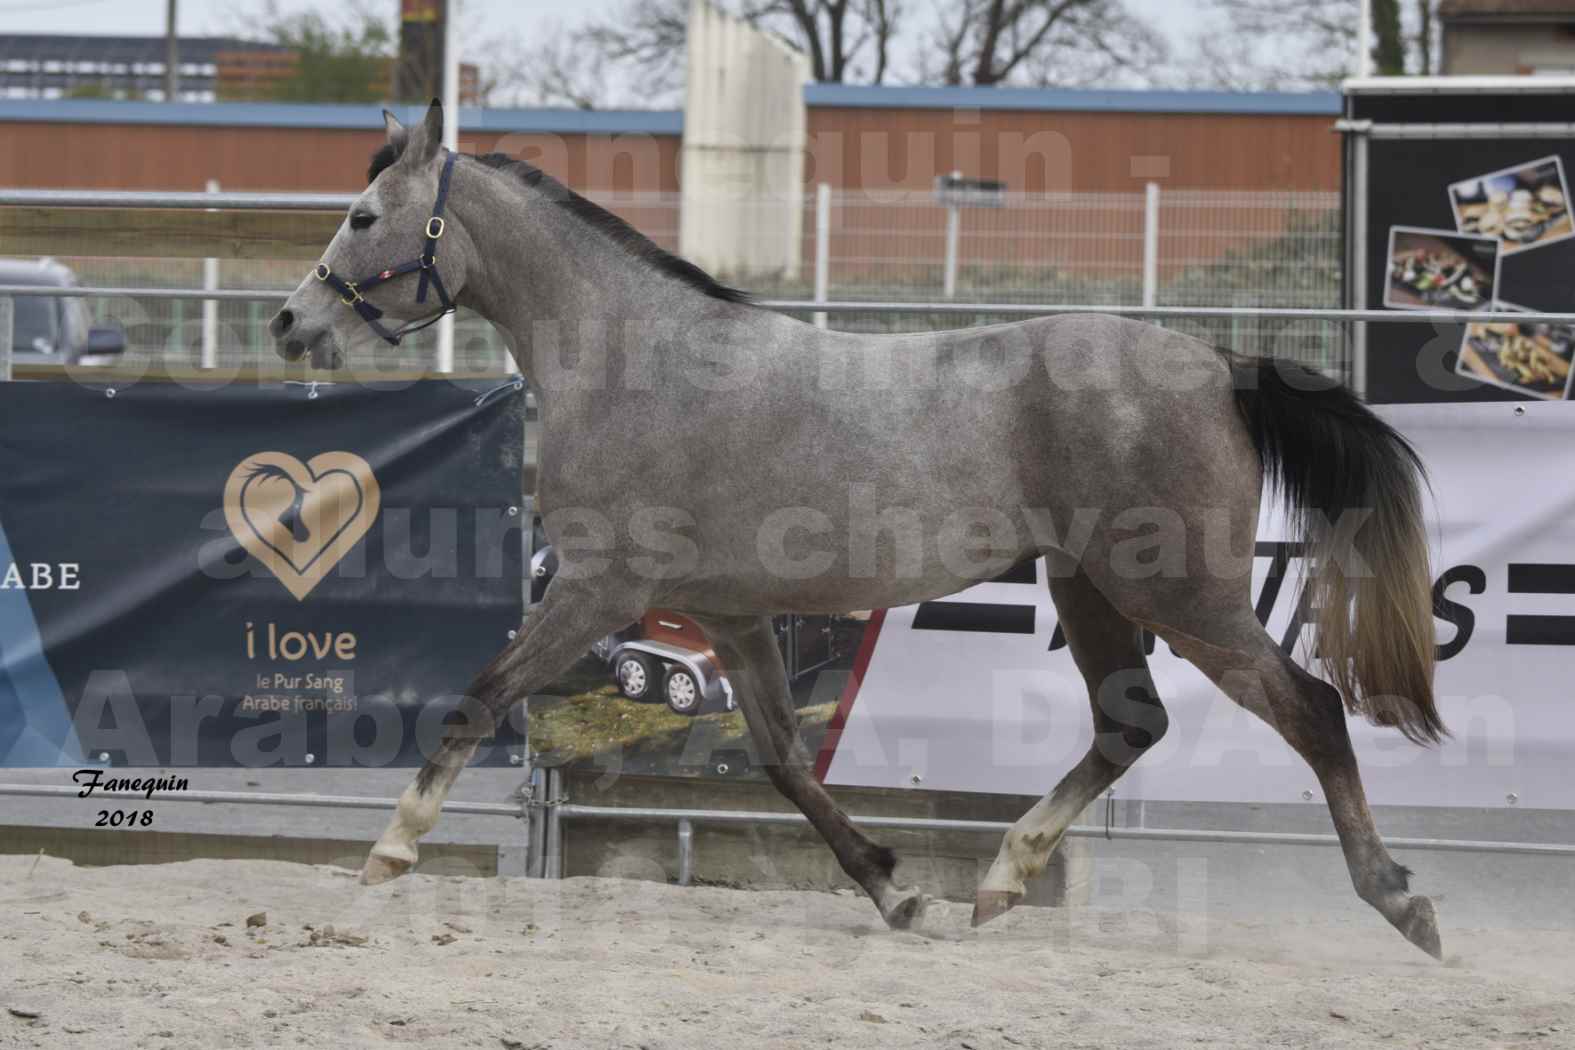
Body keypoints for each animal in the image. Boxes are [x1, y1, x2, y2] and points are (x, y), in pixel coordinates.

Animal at [264, 100, 1442, 963]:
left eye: (363, 217)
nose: (287, 321)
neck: (635, 362)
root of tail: (1220, 366)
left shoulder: (597, 588)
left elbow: (482, 695)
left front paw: (390, 851)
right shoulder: (730, 615)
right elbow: (787, 763)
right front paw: (894, 892)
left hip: (1182, 595)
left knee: (1311, 710)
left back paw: (1401, 900)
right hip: (1091, 588)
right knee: (1131, 726)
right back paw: (1000, 882)